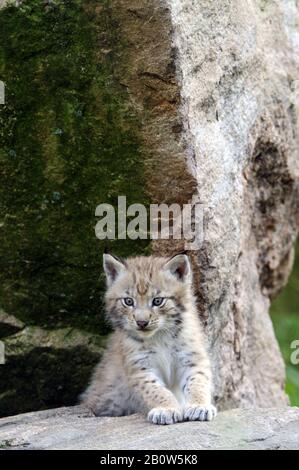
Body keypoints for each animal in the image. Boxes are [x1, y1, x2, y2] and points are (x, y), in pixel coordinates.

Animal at [81, 253, 218, 426]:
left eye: (158, 301)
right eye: (128, 301)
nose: (142, 322)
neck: (160, 336)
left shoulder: (191, 359)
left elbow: (197, 383)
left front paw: (199, 406)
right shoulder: (141, 368)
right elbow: (156, 390)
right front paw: (167, 409)